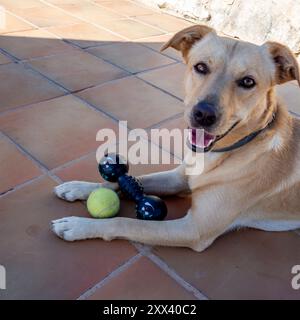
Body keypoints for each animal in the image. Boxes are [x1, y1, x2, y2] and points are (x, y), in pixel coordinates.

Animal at [51, 25, 300, 252]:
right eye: (201, 67)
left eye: (248, 82)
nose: (204, 114)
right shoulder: (178, 178)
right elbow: (124, 181)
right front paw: (80, 187)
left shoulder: (194, 229)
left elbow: (126, 223)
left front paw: (78, 225)